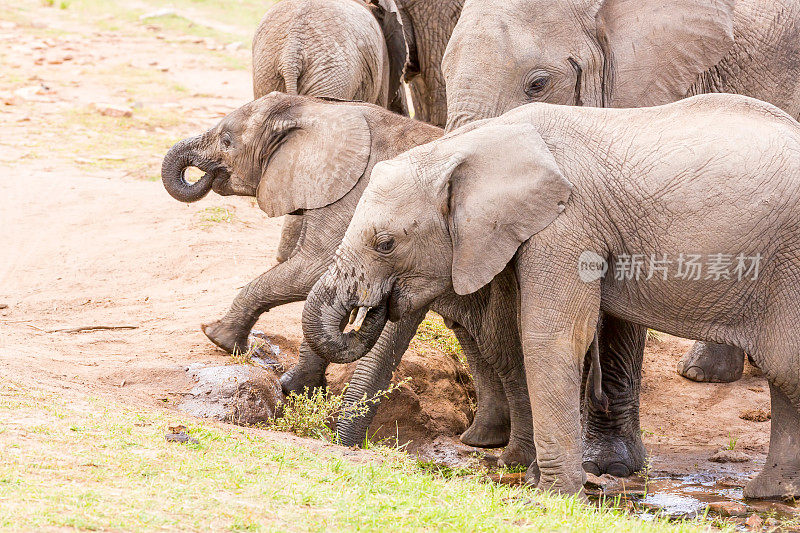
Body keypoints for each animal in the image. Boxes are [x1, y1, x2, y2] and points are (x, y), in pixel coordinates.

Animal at [304, 92, 800, 498]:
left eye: (385, 244)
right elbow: (512, 335)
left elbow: (548, 336)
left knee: (785, 367)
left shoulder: (567, 225)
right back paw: (769, 493)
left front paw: (550, 496)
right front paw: (530, 477)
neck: (471, 145)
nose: (352, 451)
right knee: (785, 377)